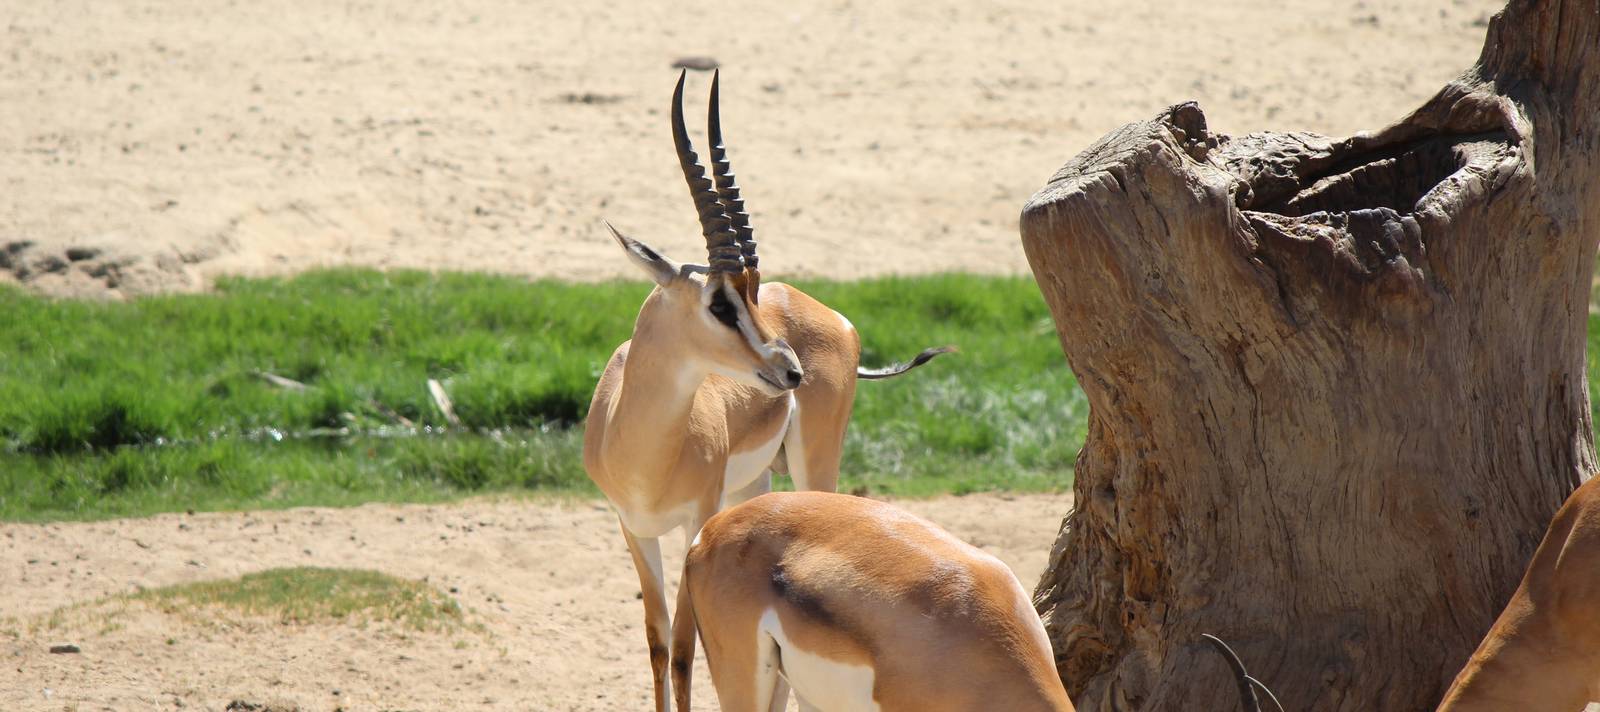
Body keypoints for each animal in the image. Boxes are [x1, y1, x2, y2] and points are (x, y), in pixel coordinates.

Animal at [584, 70, 951, 712]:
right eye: (720, 302)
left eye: (751, 293)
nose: (791, 369)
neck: (641, 451)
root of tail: (833, 315)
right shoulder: (633, 528)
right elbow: (657, 645)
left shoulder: (695, 520)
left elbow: (685, 652)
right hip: (752, 485)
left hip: (812, 467)